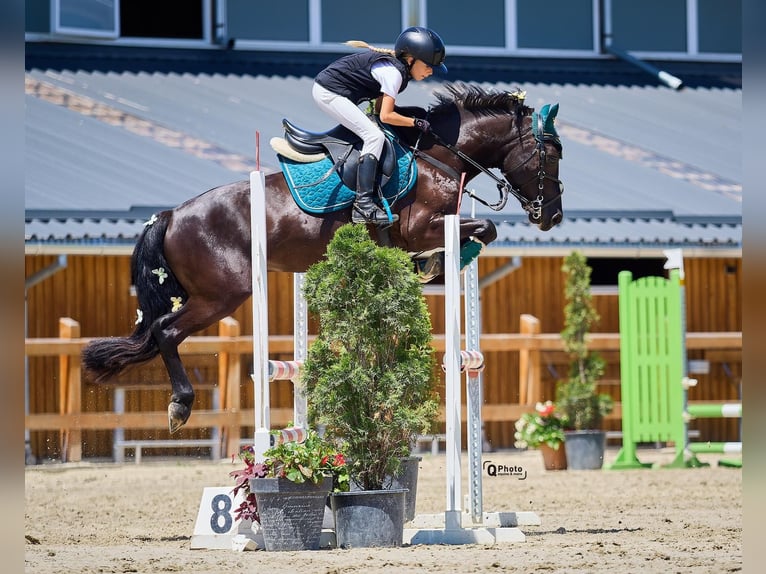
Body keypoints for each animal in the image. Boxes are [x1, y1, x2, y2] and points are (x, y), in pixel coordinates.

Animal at [82, 83, 564, 434]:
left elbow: (479, 231)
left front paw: (429, 266)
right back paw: (180, 406)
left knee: (160, 332)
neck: (438, 156)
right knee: (165, 331)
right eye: (553, 154)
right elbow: (483, 228)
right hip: (223, 294)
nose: (552, 216)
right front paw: (438, 262)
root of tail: (170, 215)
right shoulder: (421, 226)